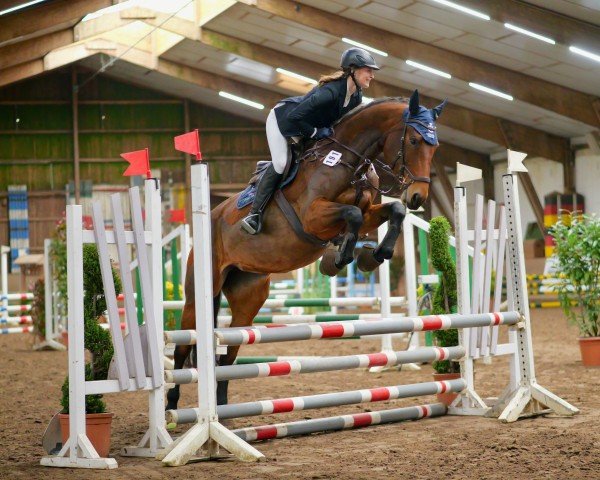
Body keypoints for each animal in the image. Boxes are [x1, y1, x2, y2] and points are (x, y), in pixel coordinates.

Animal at [166, 89, 448, 408]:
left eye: (435, 147)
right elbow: (352, 214)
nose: (418, 197)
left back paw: (223, 405)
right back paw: (172, 406)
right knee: (182, 347)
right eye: (413, 141)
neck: (349, 162)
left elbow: (392, 211)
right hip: (198, 293)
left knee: (230, 352)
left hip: (249, 295)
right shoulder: (313, 217)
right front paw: (340, 257)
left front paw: (373, 256)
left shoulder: (369, 211)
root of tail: (211, 218)